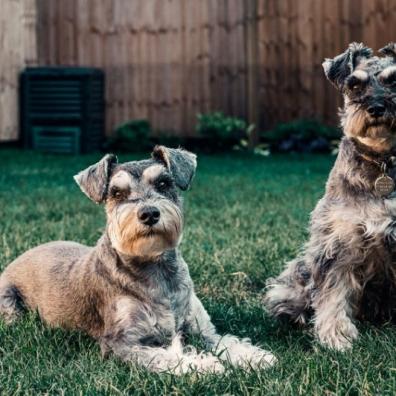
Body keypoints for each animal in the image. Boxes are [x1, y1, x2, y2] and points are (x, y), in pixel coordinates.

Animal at [0, 146, 276, 374]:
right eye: (116, 192)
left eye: (164, 182)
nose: (149, 213)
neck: (156, 269)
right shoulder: (120, 343)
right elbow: (165, 356)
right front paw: (204, 365)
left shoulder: (202, 329)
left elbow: (226, 341)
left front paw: (254, 357)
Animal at [264, 42, 396, 350]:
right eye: (354, 85)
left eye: (394, 80)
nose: (376, 108)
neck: (381, 161)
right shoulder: (338, 242)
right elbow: (333, 291)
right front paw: (336, 336)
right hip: (299, 272)